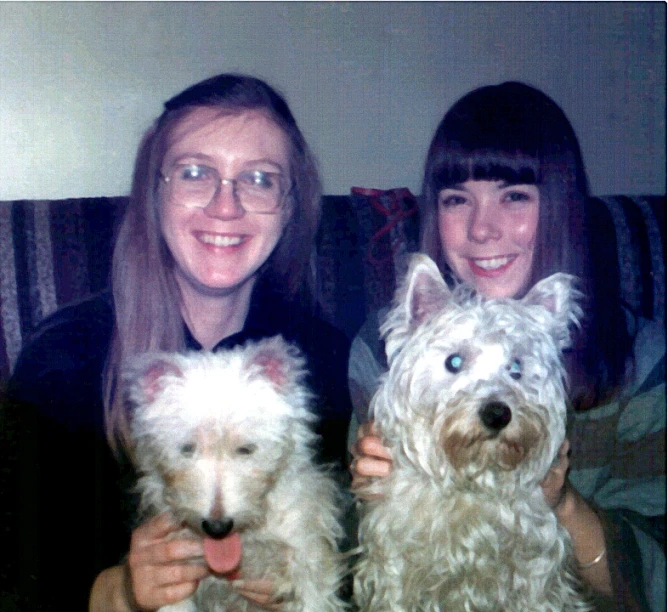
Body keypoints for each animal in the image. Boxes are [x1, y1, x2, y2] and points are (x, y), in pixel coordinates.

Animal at [352, 253, 592, 612]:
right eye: (454, 362)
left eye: (516, 368)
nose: (497, 414)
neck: (472, 479)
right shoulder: (394, 565)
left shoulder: (535, 564)